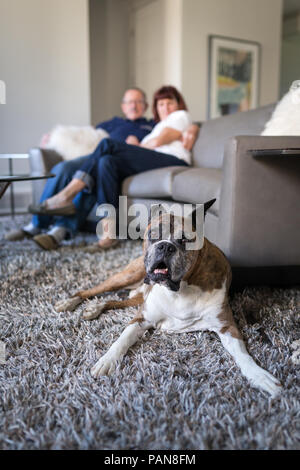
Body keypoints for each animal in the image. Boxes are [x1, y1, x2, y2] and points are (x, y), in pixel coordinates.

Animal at [55, 199, 282, 396]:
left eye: (185, 240)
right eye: (154, 235)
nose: (165, 246)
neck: (179, 290)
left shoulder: (227, 327)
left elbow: (243, 355)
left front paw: (259, 375)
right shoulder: (141, 318)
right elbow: (122, 338)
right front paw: (107, 360)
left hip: (138, 296)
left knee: (115, 301)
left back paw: (95, 308)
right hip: (127, 276)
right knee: (92, 291)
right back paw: (70, 301)